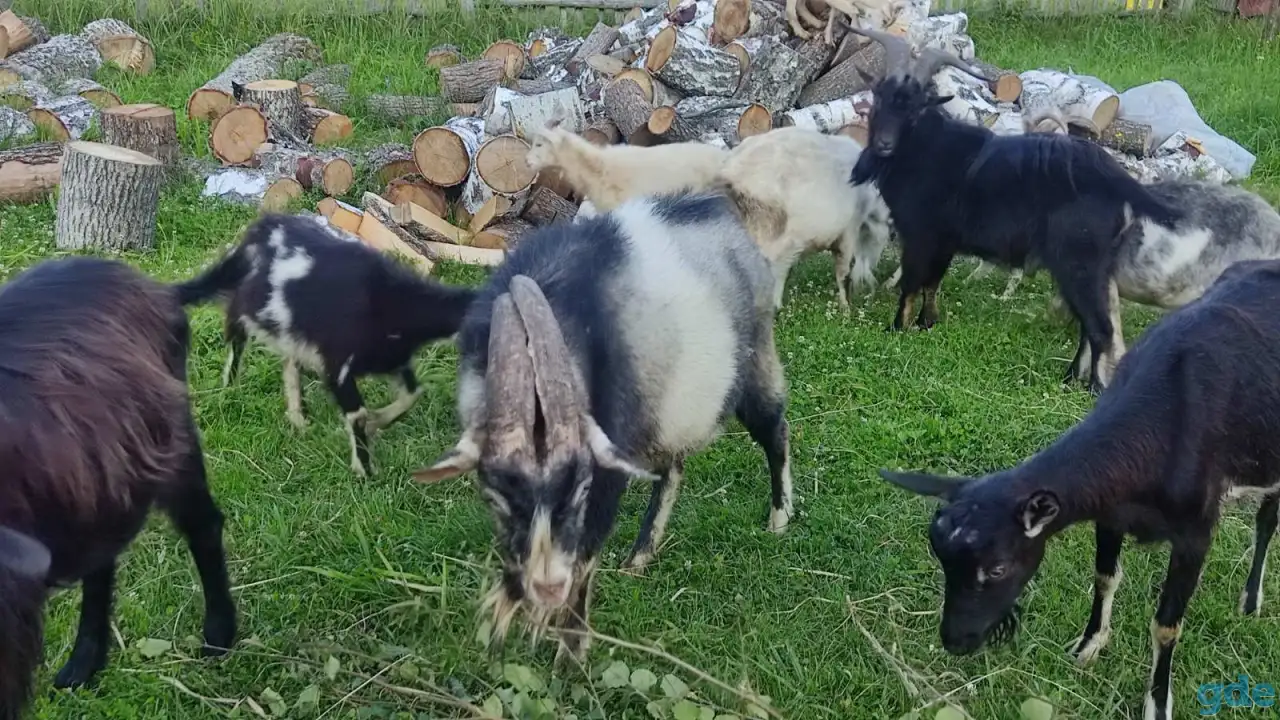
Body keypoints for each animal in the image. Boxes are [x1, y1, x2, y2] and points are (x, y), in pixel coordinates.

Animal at [176, 213, 477, 478]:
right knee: (237, 333)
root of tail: (261, 228)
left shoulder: (393, 360)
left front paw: (376, 423)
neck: (393, 304)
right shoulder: (339, 365)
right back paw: (230, 388)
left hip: (294, 328)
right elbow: (357, 414)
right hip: (256, 308)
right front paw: (365, 470)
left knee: (289, 360)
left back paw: (297, 418)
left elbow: (412, 394)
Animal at [412, 191, 794, 661]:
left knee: (775, 430)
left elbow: (586, 554)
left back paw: (779, 520)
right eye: (496, 495)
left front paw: (570, 649)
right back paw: (640, 558)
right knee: (672, 470)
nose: (546, 586)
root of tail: (719, 209)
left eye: (580, 488)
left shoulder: (606, 472)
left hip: (756, 362)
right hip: (662, 411)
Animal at [847, 25, 1182, 392]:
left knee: (1099, 327)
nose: (884, 144)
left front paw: (897, 327)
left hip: (1077, 261)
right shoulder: (944, 241)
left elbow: (911, 283)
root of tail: (1118, 180)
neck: (925, 148)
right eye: (879, 96)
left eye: (914, 108)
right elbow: (932, 283)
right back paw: (1070, 379)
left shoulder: (921, 235)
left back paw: (1092, 386)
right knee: (1088, 324)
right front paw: (927, 323)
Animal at [877, 257, 1280, 720]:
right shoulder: (1111, 514)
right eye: (942, 558)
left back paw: (1250, 600)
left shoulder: (1195, 533)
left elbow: (1166, 626)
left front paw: (1157, 702)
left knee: (1267, 521)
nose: (955, 641)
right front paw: (1088, 645)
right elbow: (1105, 578)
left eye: (997, 568)